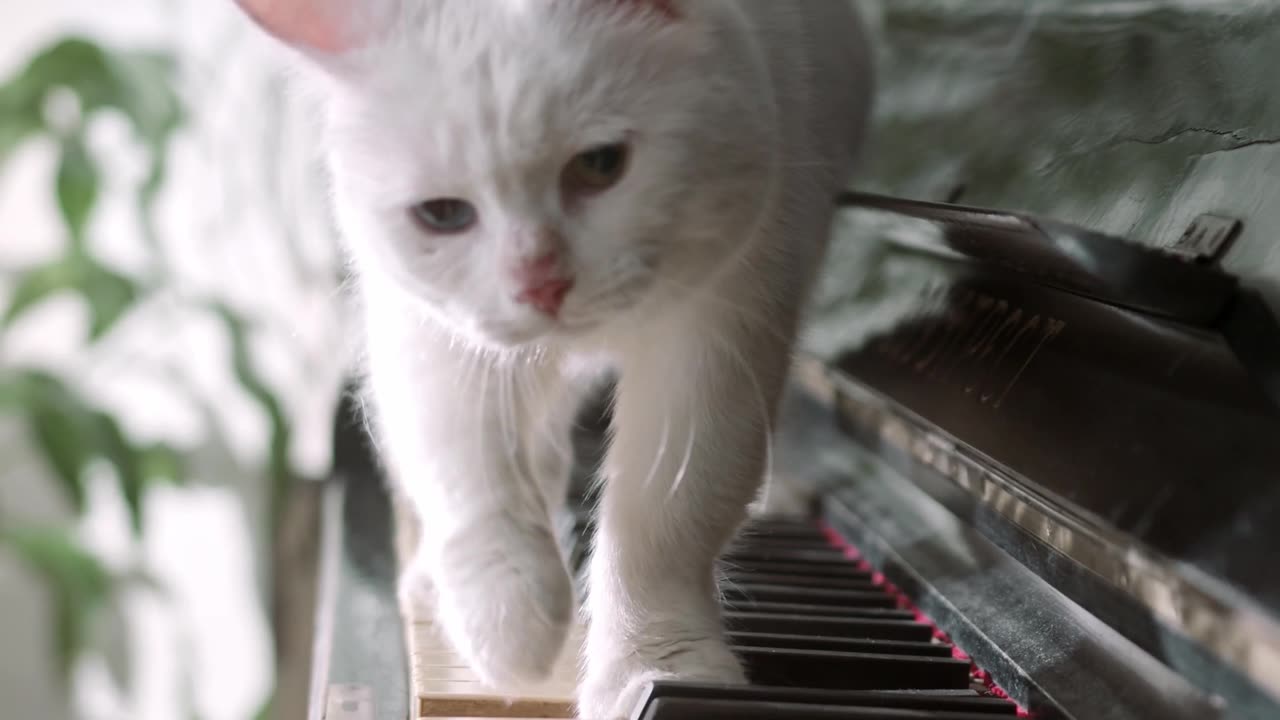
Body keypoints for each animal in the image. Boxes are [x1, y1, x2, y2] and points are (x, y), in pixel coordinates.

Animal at [232, 0, 870, 712]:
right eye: (442, 214)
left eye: (601, 164)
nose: (540, 284)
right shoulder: (433, 338)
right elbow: (471, 479)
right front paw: (510, 633)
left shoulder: (720, 332)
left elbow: (664, 525)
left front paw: (657, 670)